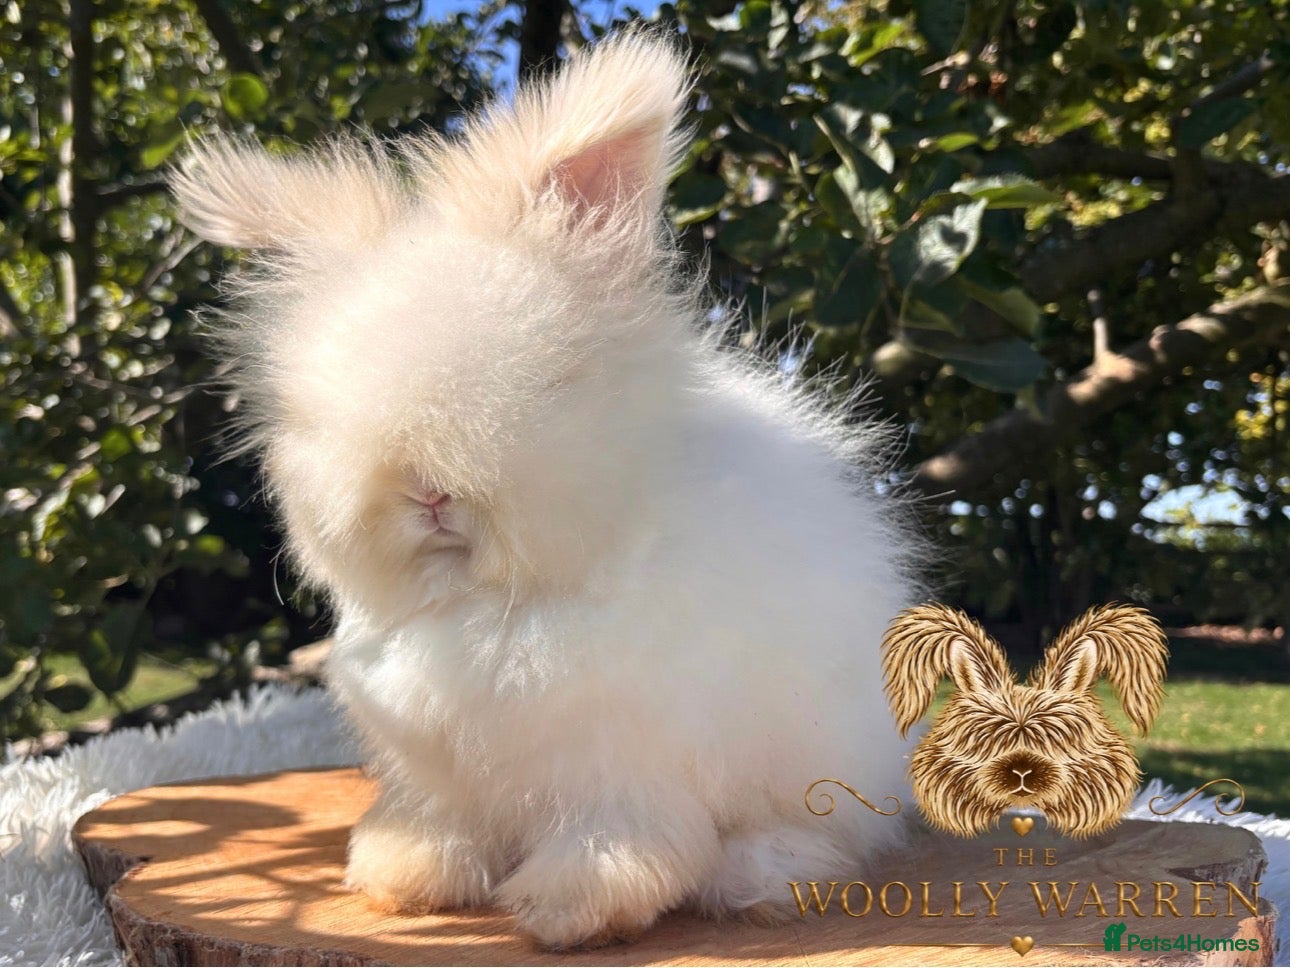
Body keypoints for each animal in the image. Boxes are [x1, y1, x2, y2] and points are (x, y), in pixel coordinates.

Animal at [170, 30, 925, 948]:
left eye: (551, 383)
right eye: (317, 413)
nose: (427, 493)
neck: (495, 604)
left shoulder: (624, 761)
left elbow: (613, 839)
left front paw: (569, 909)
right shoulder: (438, 768)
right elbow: (441, 823)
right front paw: (402, 878)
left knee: (826, 831)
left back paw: (757, 880)